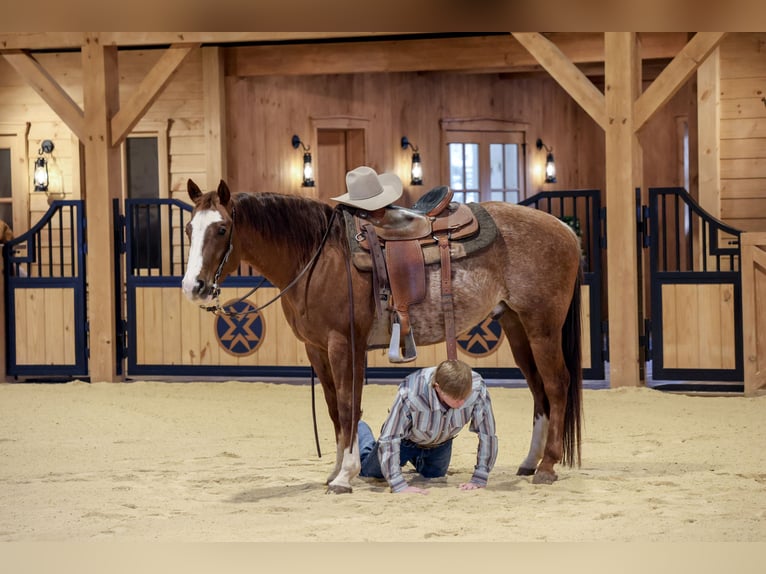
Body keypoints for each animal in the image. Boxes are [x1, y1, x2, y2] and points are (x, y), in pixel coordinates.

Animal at [181, 179, 583, 493]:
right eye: (188, 229)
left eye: (221, 229)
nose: (193, 287)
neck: (317, 258)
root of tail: (565, 230)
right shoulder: (317, 349)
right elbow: (335, 409)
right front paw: (337, 469)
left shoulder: (343, 344)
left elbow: (348, 406)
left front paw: (345, 475)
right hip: (516, 326)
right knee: (538, 390)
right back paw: (530, 462)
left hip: (543, 327)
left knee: (557, 385)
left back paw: (547, 466)